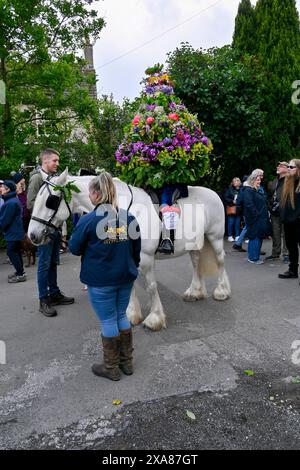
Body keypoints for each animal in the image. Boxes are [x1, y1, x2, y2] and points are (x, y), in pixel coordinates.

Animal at [28, 169, 231, 330]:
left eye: (51, 201)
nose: (32, 235)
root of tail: (213, 193)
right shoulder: (129, 257)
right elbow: (130, 285)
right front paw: (132, 315)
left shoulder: (146, 258)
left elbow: (151, 286)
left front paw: (154, 319)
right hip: (194, 244)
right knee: (196, 263)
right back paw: (195, 292)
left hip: (215, 237)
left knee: (220, 261)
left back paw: (222, 291)